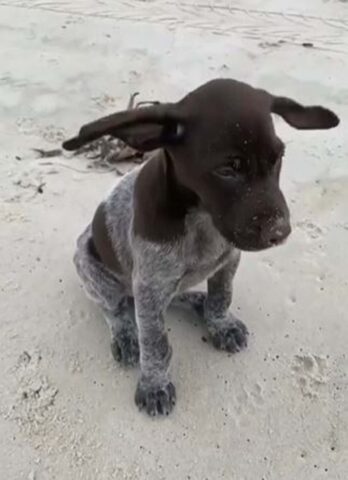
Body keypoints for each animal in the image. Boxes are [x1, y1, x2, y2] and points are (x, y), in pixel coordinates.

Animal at [61, 79, 338, 416]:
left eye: (278, 158)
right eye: (227, 169)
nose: (280, 232)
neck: (201, 217)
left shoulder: (228, 260)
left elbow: (221, 297)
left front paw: (219, 323)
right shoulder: (151, 285)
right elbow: (155, 342)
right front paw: (154, 383)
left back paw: (196, 300)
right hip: (90, 265)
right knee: (115, 309)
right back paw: (126, 335)